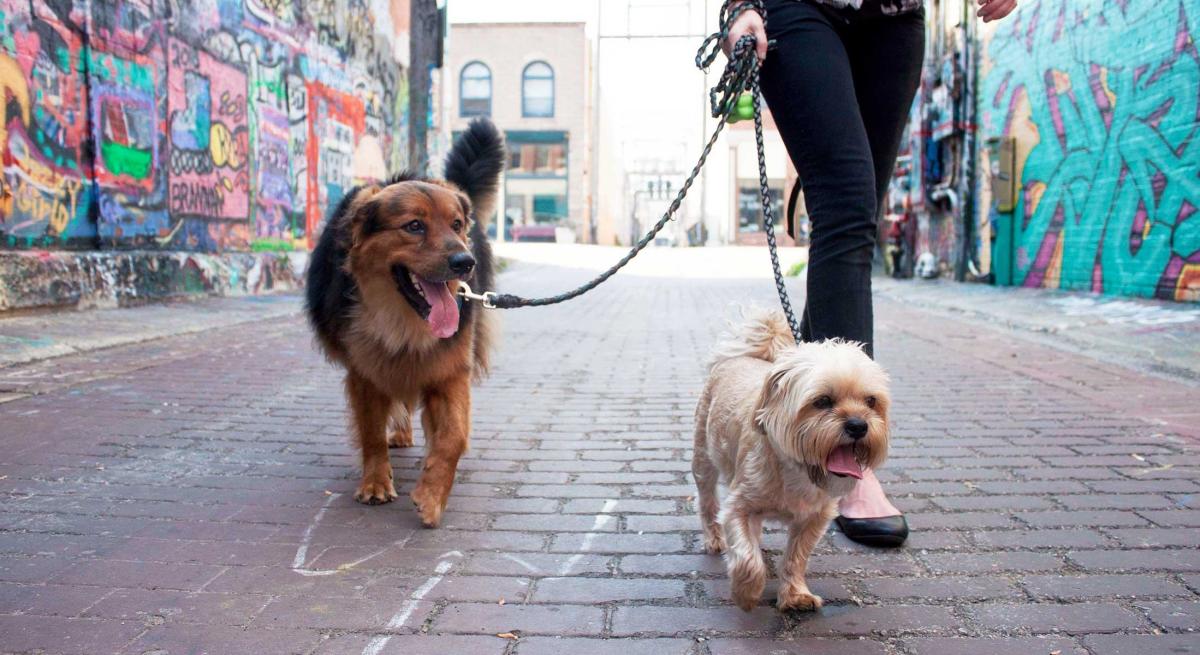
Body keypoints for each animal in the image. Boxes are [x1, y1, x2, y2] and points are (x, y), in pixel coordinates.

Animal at [307, 118, 504, 525]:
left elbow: (454, 437)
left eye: (456, 224)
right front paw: (375, 482)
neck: (404, 321)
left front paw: (432, 493)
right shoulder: (364, 370)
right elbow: (370, 431)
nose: (465, 263)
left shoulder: (450, 370)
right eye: (414, 226)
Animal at [696, 309, 892, 609]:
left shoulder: (814, 519)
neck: (797, 471)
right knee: (707, 503)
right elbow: (747, 559)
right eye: (822, 401)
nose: (859, 425)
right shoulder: (738, 507)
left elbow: (796, 558)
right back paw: (714, 538)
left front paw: (795, 594)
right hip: (703, 461)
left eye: (871, 401)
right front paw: (746, 592)